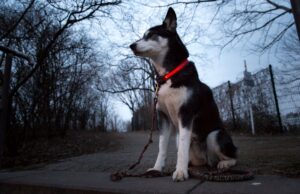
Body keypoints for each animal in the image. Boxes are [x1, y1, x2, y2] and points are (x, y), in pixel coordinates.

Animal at [129, 6, 237, 182]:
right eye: (142, 36)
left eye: (151, 35)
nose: (131, 45)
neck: (168, 75)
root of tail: (207, 162)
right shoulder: (163, 117)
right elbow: (162, 147)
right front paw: (157, 169)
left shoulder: (186, 114)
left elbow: (183, 148)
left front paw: (180, 172)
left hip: (215, 135)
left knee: (233, 155)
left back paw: (224, 164)